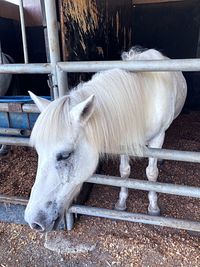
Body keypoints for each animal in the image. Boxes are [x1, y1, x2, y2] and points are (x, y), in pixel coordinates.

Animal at [24, 48, 187, 232]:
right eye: (38, 151)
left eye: (65, 155)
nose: (33, 221)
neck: (144, 96)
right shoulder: (125, 140)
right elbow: (124, 172)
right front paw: (121, 203)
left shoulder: (158, 138)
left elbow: (151, 174)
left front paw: (153, 207)